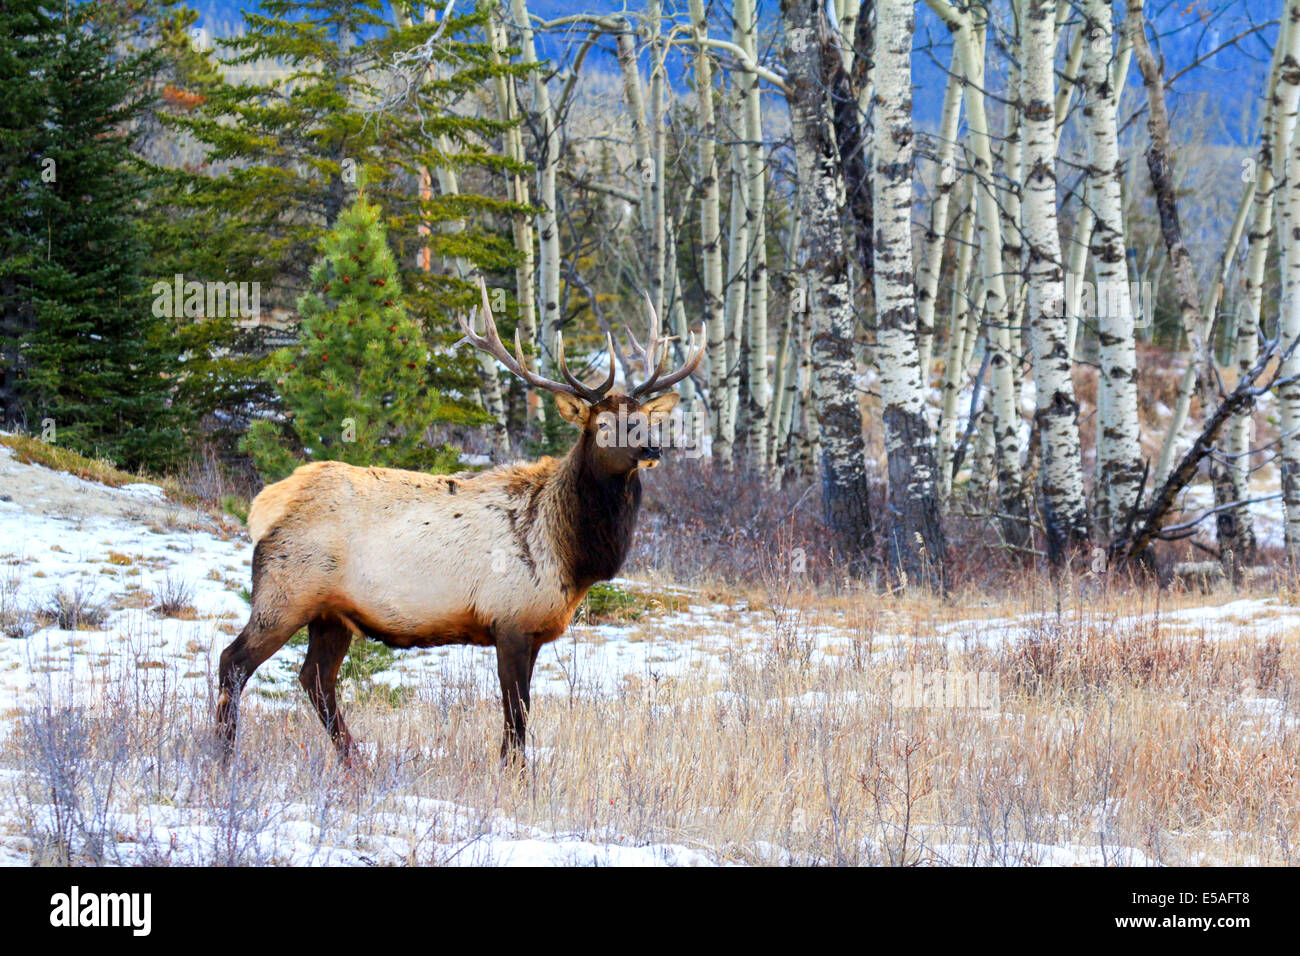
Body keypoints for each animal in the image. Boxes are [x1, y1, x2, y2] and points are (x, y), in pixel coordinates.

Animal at [215, 280, 702, 764]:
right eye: (603, 424)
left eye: (643, 419)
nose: (653, 448)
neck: (570, 553)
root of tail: (264, 506)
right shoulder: (510, 620)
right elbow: (516, 715)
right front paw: (515, 773)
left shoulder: (533, 630)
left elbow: (518, 717)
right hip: (285, 593)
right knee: (233, 662)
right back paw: (222, 755)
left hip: (331, 612)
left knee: (315, 678)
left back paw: (354, 761)